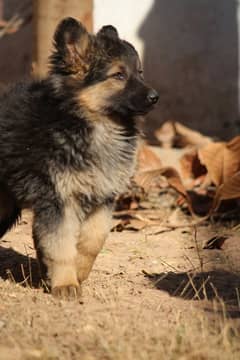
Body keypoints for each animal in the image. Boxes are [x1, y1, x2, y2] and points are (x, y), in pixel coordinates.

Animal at [0, 17, 158, 298]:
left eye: (139, 72)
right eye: (118, 75)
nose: (155, 97)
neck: (91, 122)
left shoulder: (103, 198)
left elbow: (93, 240)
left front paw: (79, 271)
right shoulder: (57, 199)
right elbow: (61, 244)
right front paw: (65, 283)